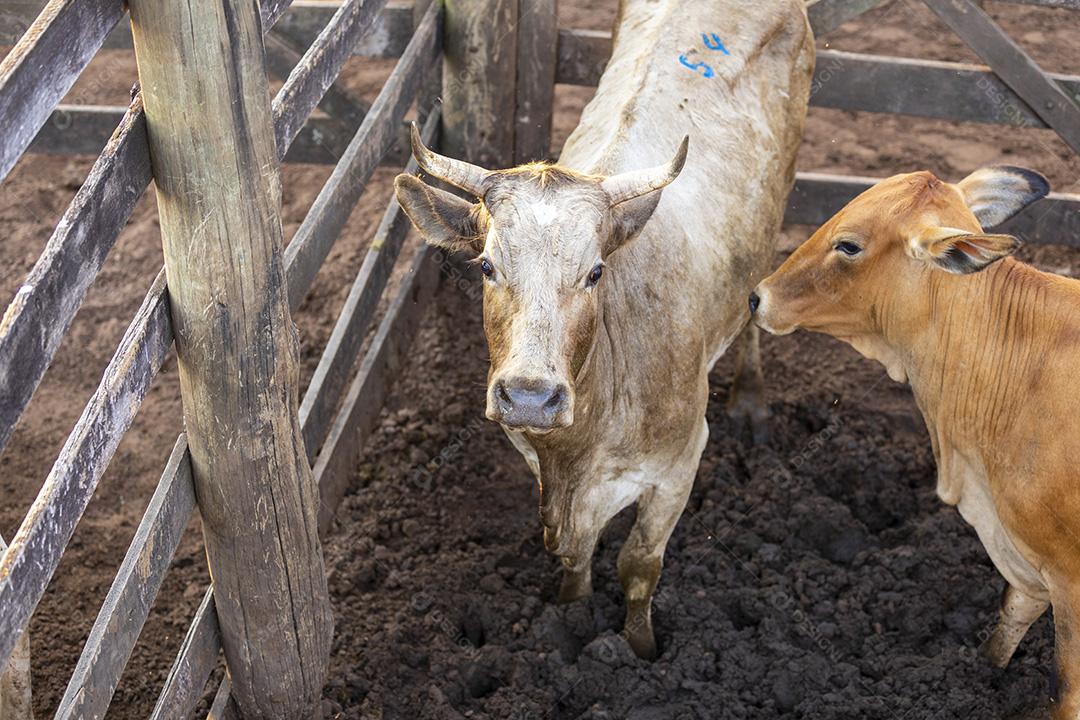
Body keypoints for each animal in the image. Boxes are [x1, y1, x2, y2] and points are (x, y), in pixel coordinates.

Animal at [396, 0, 814, 658]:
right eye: (486, 265)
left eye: (595, 272)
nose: (531, 397)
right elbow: (578, 557)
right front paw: (571, 617)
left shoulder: (679, 463)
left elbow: (638, 565)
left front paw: (639, 648)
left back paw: (751, 401)